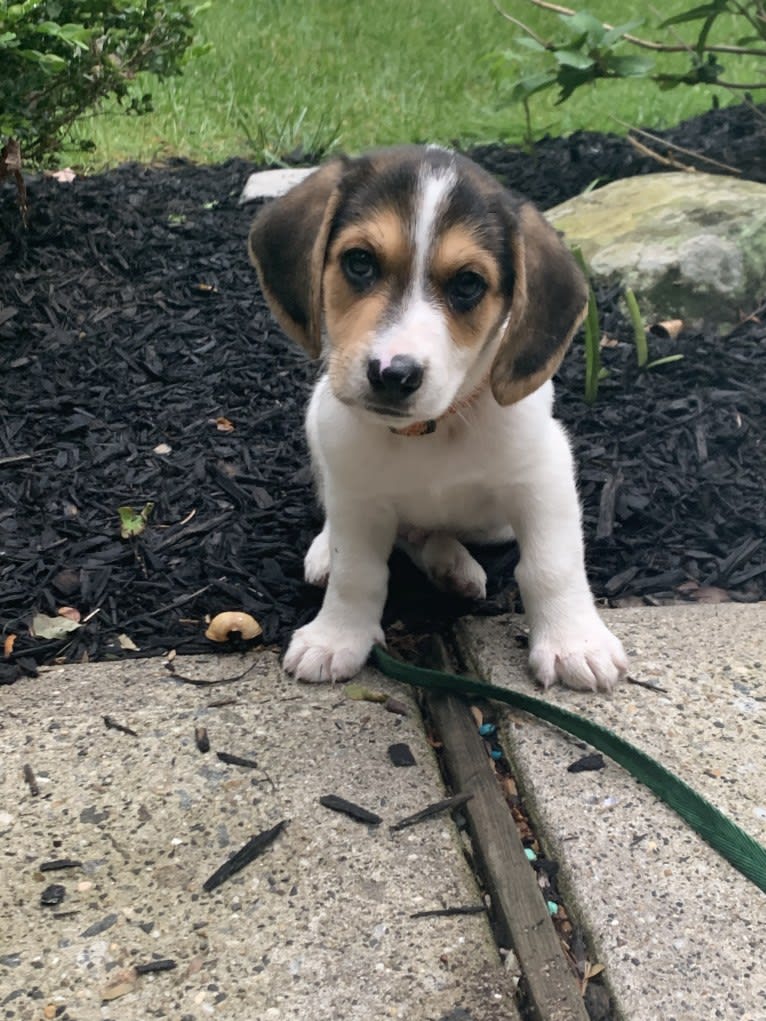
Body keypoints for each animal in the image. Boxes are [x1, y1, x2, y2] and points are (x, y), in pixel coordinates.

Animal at [252, 146, 629, 694]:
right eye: (359, 262)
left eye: (468, 284)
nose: (392, 374)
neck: (431, 431)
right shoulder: (358, 496)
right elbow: (356, 572)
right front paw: (337, 635)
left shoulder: (544, 476)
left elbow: (552, 564)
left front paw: (573, 642)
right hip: (321, 429)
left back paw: (452, 564)